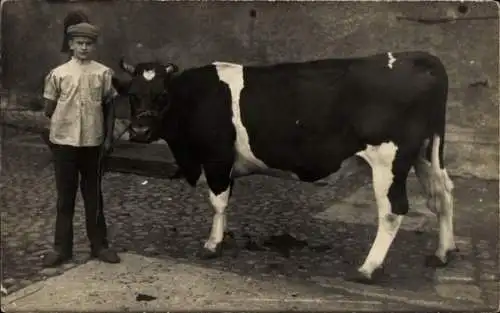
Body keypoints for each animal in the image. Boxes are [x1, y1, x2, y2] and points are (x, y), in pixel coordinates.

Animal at [112, 51, 458, 282]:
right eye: (133, 95)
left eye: (162, 96)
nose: (139, 130)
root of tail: (417, 57)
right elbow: (226, 202)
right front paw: (224, 237)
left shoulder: (216, 158)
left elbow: (217, 202)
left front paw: (212, 245)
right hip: (426, 153)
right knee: (443, 196)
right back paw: (443, 253)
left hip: (389, 161)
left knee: (392, 211)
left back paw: (368, 268)